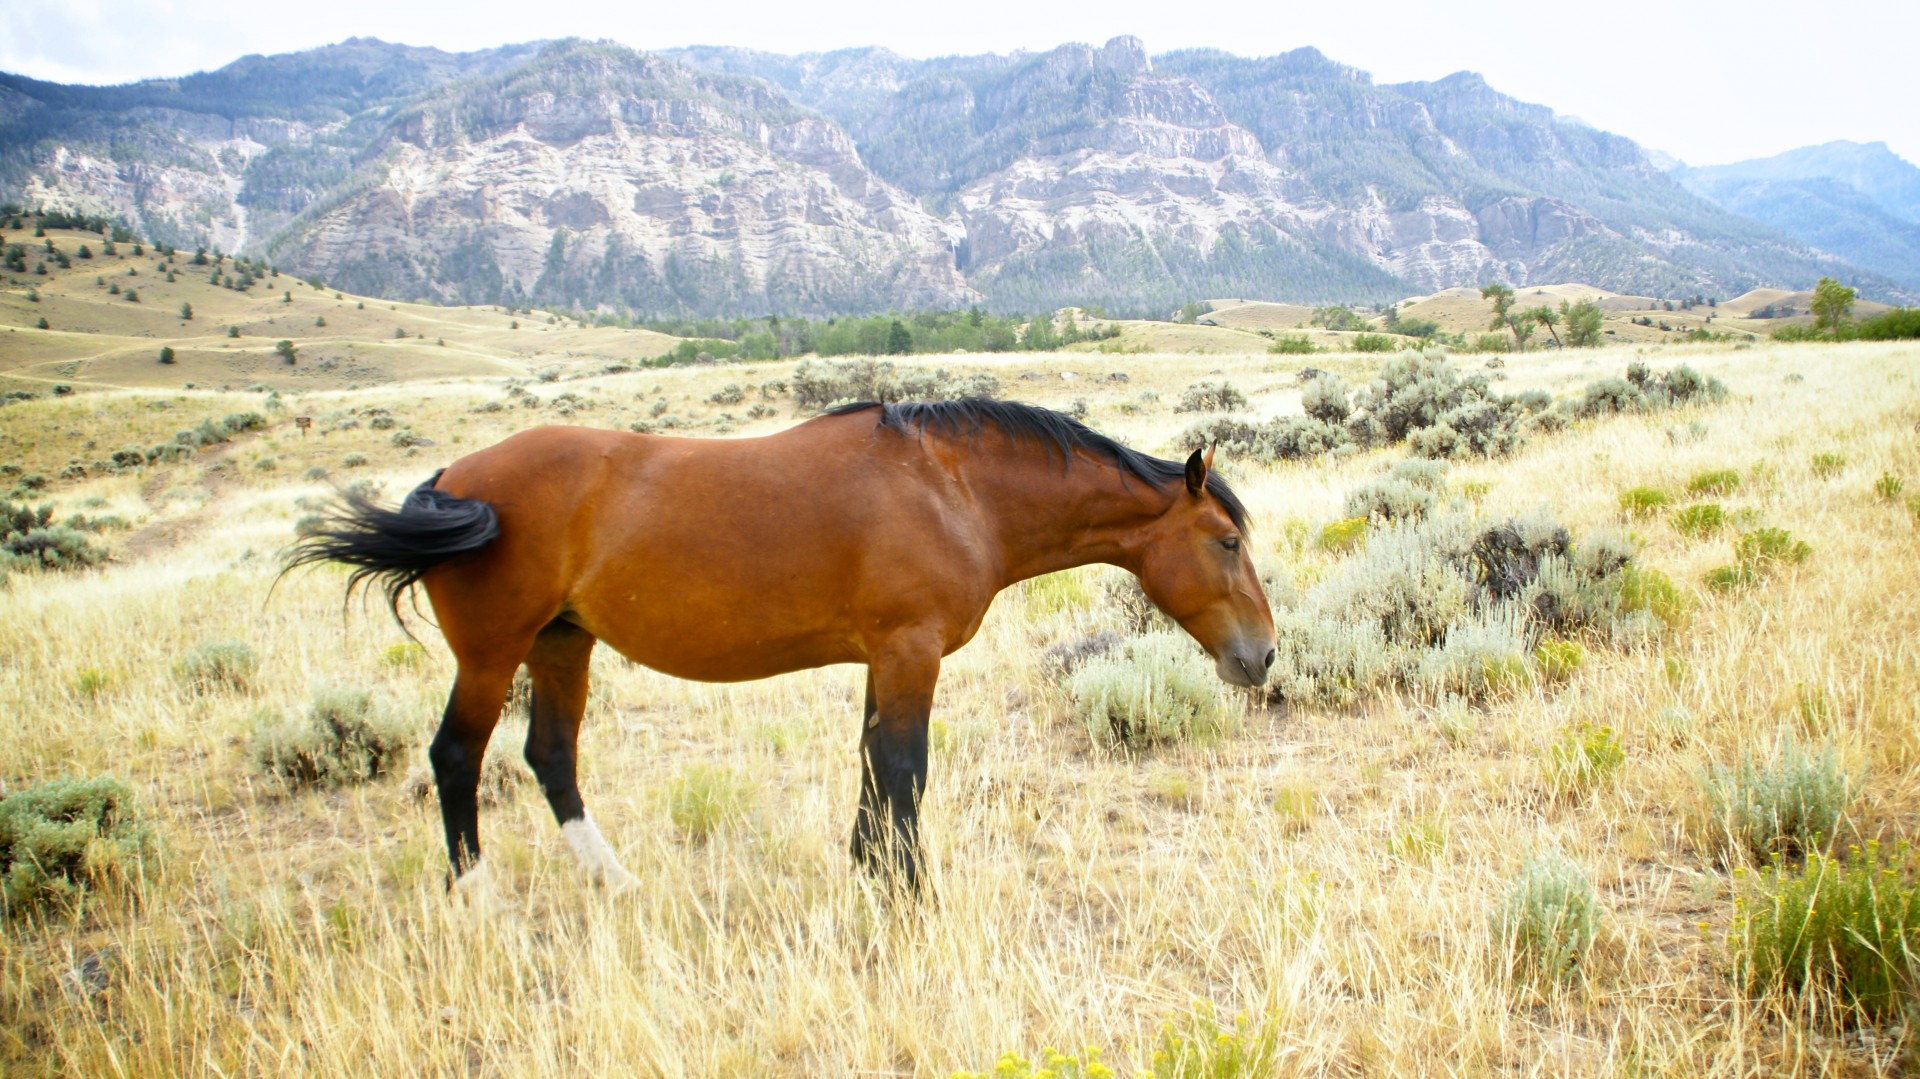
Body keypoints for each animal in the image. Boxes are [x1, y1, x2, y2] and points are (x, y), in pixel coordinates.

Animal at [288, 399, 1274, 887]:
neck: (951, 486)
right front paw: (909, 893)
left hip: (563, 644)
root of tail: (454, 477)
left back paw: (617, 883)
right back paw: (479, 898)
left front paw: (868, 875)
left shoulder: (886, 658)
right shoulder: (909, 652)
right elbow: (905, 771)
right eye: (1228, 541)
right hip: (492, 656)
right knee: (457, 758)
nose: (1262, 656)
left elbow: (875, 768)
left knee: (551, 756)